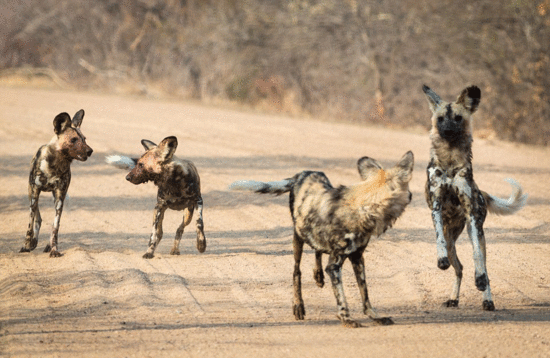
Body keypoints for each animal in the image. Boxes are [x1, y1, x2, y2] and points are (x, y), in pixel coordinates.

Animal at [20, 109, 94, 258]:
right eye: (73, 139)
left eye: (84, 139)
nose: (90, 151)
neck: (56, 164)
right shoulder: (35, 191)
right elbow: (30, 224)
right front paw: (26, 246)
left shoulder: (60, 196)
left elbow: (55, 227)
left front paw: (54, 249)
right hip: (31, 194)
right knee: (37, 217)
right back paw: (32, 243)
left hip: (54, 197)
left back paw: (46, 245)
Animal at [231, 151, 416, 328]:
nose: (412, 195)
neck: (365, 208)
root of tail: (302, 174)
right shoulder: (334, 266)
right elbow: (342, 298)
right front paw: (346, 319)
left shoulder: (357, 258)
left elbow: (365, 294)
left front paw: (375, 317)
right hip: (298, 237)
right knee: (296, 271)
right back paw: (298, 305)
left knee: (317, 249)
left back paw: (318, 275)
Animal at [424, 84, 528, 310]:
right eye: (440, 119)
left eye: (458, 118)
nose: (447, 131)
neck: (450, 160)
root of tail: (481, 191)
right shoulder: (436, 207)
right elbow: (439, 239)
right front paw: (441, 260)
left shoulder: (471, 214)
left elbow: (478, 257)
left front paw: (480, 280)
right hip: (452, 241)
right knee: (458, 268)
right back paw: (453, 298)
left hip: (477, 232)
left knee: (481, 266)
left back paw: (487, 299)